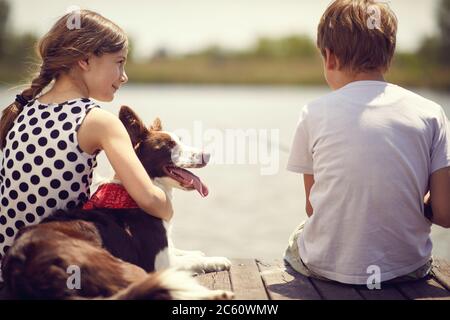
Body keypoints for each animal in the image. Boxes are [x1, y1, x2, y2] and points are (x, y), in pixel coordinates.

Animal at [2, 107, 236, 300]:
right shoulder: (161, 262)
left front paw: (196, 252)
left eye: (179, 140)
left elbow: (186, 252)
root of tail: (23, 266)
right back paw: (217, 294)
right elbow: (194, 261)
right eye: (169, 146)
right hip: (121, 266)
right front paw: (217, 259)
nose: (208, 154)